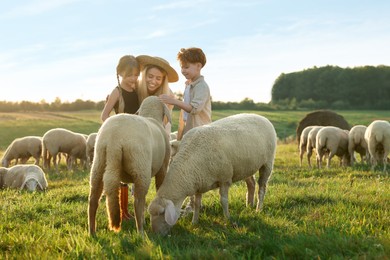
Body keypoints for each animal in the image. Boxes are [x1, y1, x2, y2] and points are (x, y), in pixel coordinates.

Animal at [88, 95, 171, 236]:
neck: (152, 117)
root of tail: (114, 138)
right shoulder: (163, 167)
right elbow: (159, 187)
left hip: (99, 163)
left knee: (93, 200)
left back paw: (92, 232)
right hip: (141, 168)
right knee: (138, 201)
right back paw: (141, 232)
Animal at [147, 114, 278, 236]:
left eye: (161, 213)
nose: (156, 235)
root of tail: (262, 117)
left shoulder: (225, 179)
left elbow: (223, 201)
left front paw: (227, 218)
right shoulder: (199, 183)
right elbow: (197, 204)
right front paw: (194, 222)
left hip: (267, 163)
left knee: (262, 187)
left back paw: (258, 209)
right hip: (246, 167)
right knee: (251, 184)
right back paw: (249, 206)